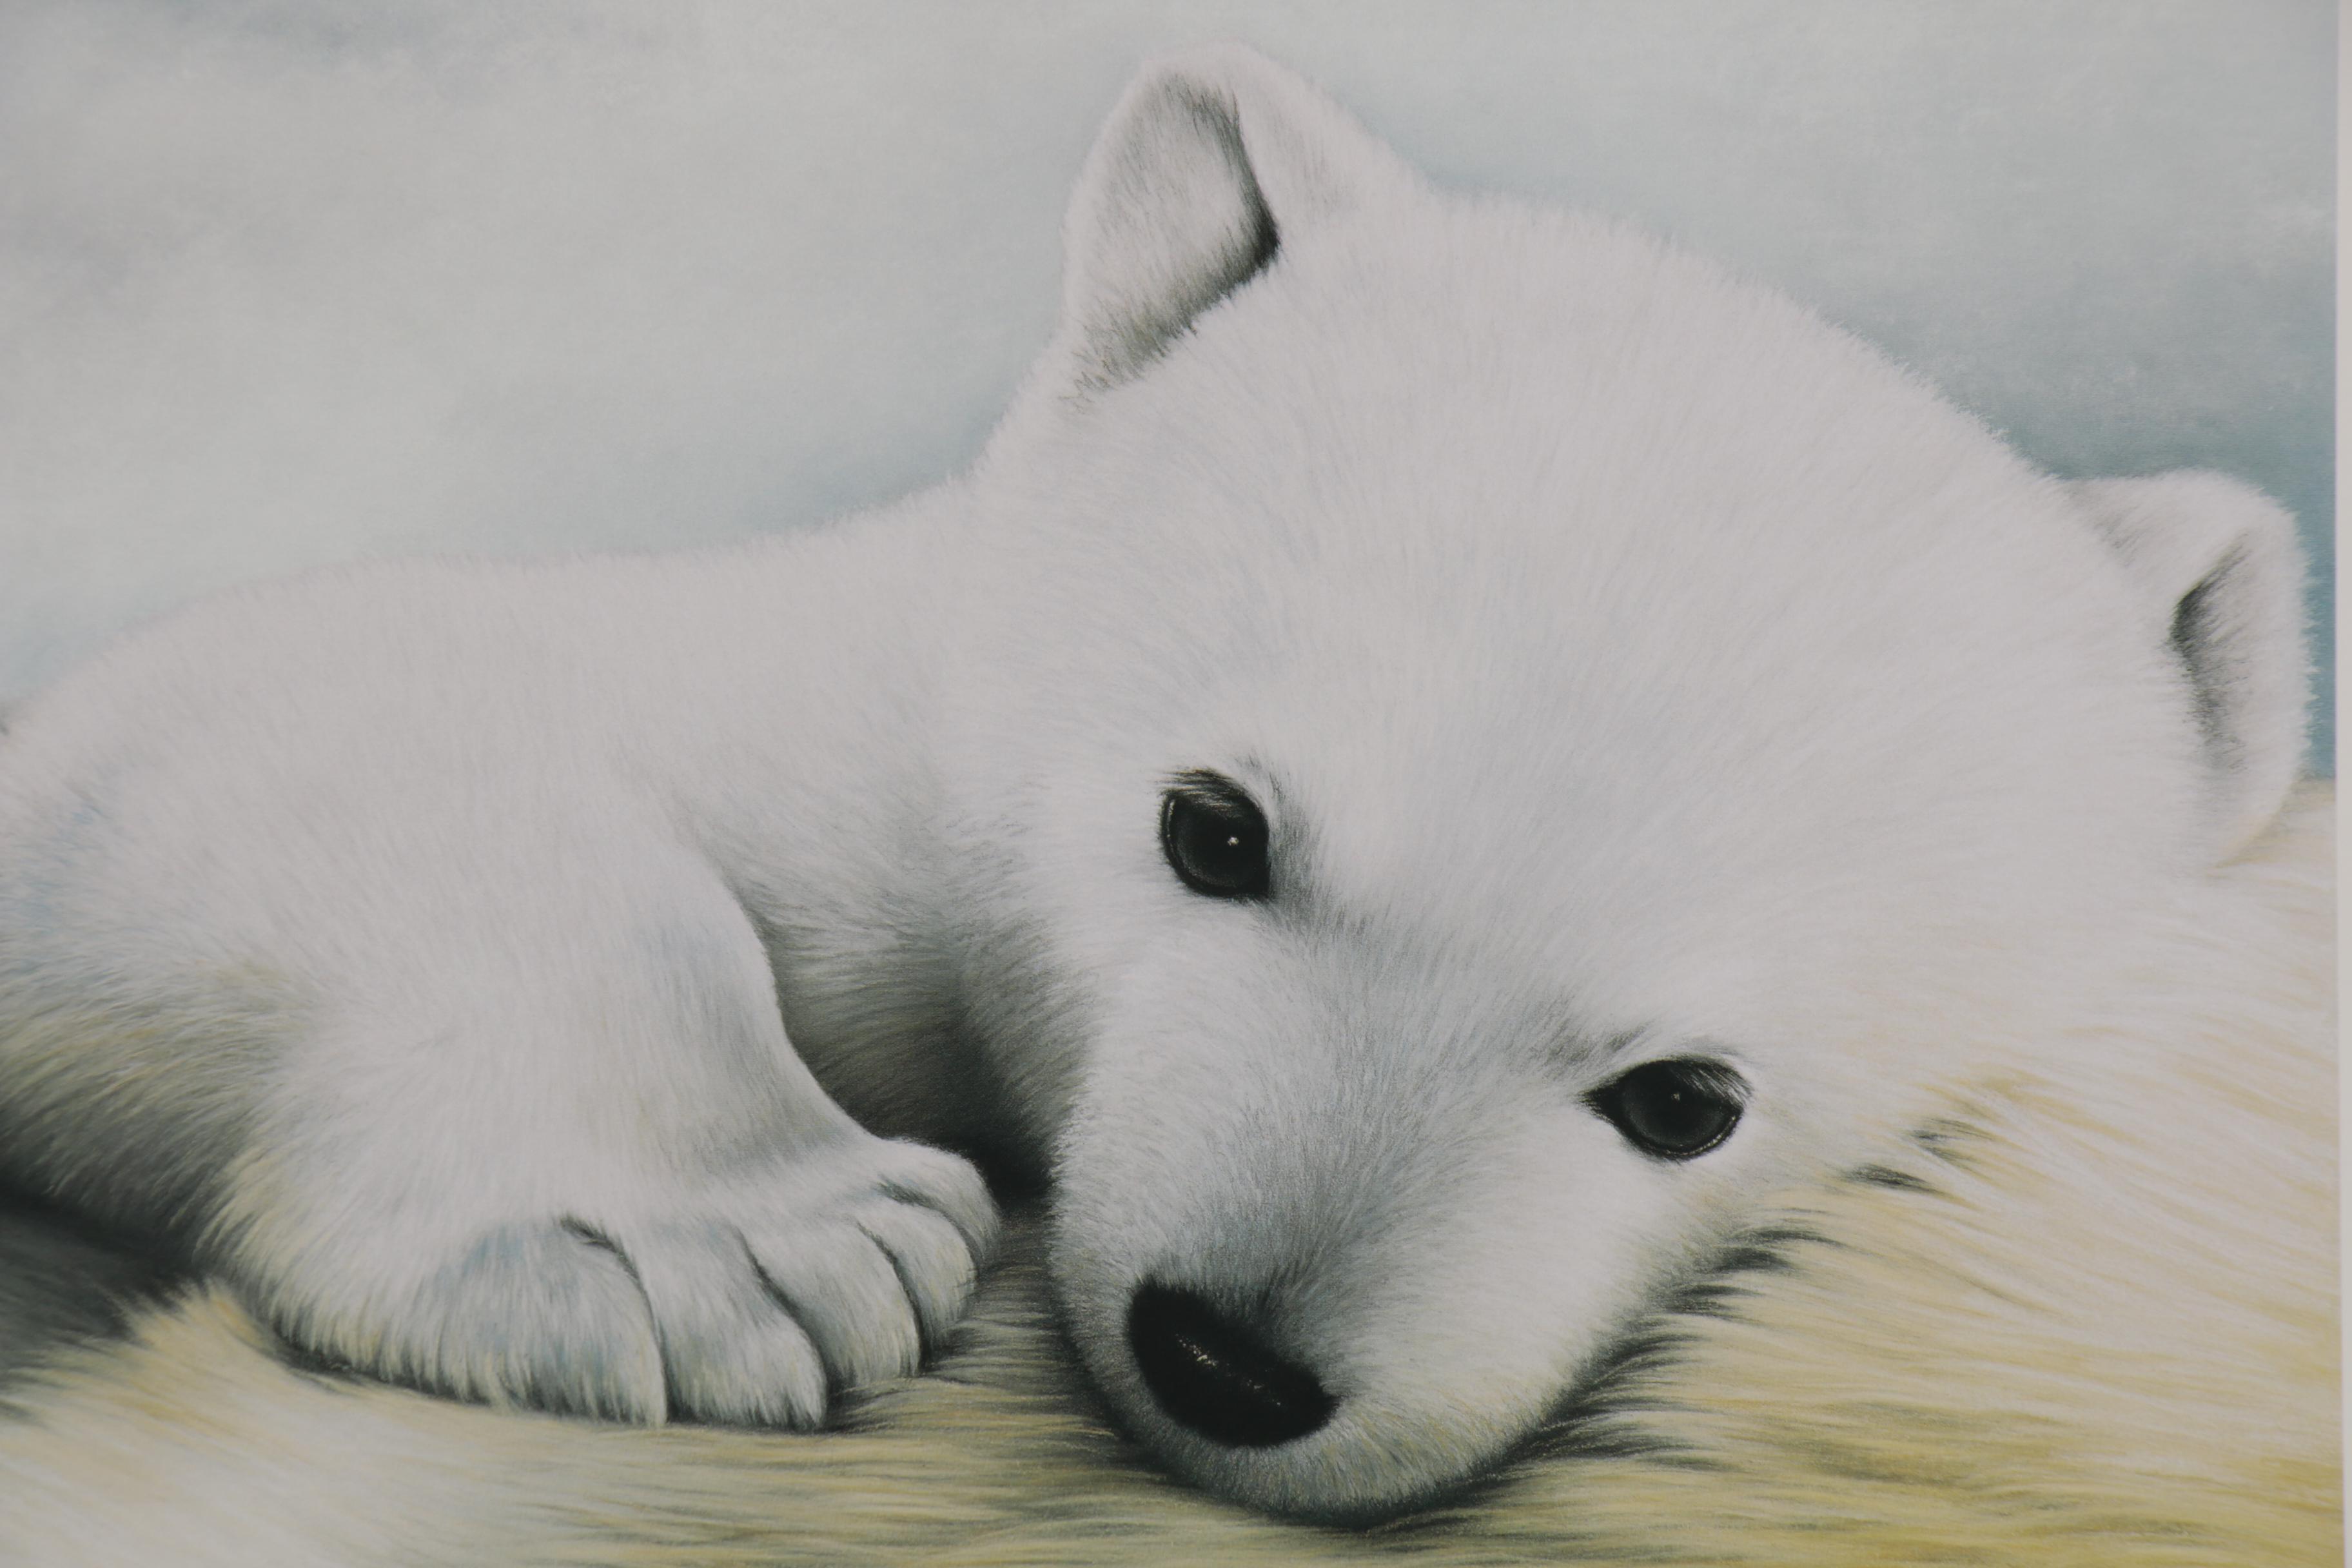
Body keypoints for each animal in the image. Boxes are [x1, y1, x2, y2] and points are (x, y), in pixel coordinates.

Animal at [0, 42, 2321, 1529]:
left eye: (1686, 1101)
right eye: (1213, 828)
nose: (1229, 1354)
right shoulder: (859, 755)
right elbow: (260, 725)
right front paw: (726, 1249)